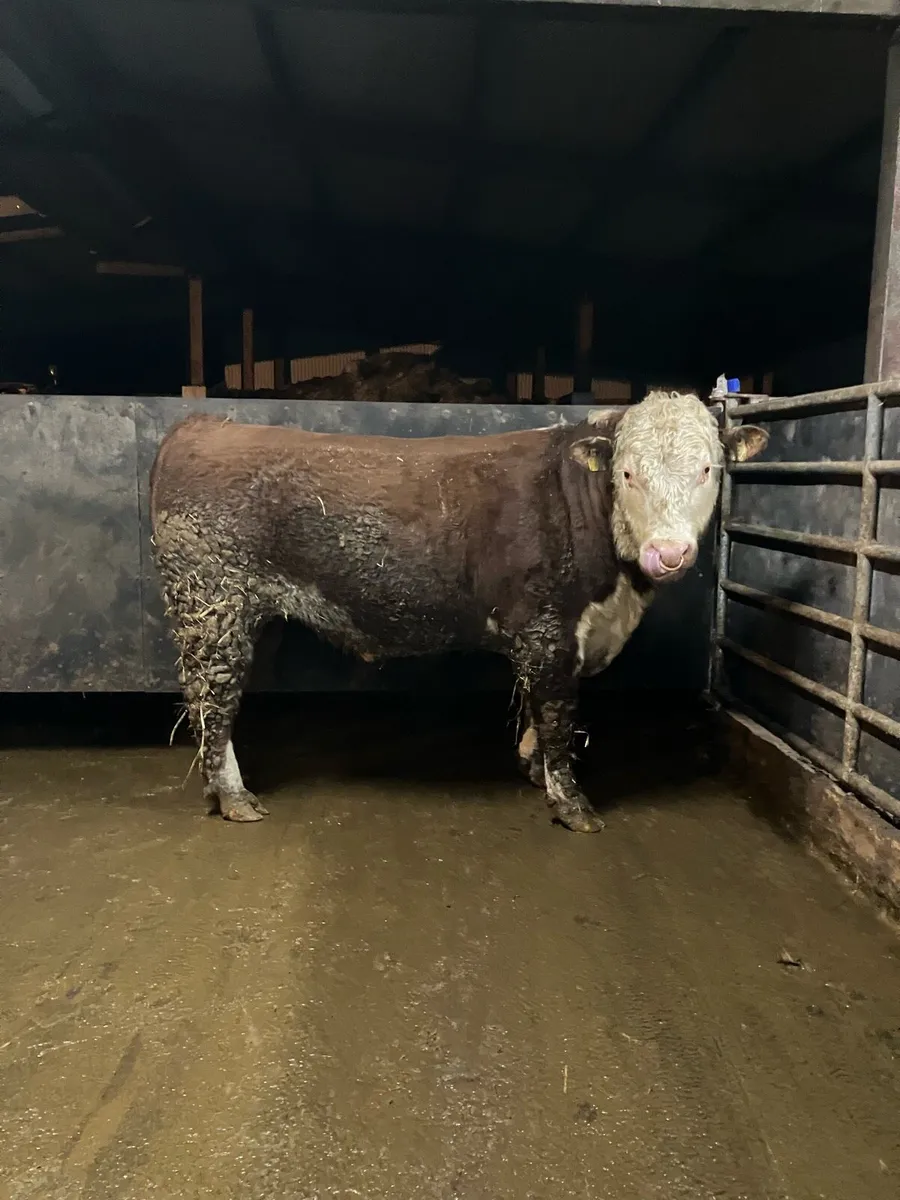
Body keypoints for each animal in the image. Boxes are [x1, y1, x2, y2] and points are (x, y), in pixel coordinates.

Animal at [149, 391, 767, 832]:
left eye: (708, 470)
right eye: (627, 473)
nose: (669, 553)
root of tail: (200, 426)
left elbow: (535, 710)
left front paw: (533, 770)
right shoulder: (547, 625)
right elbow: (557, 712)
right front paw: (572, 804)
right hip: (213, 602)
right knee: (214, 698)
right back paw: (234, 797)